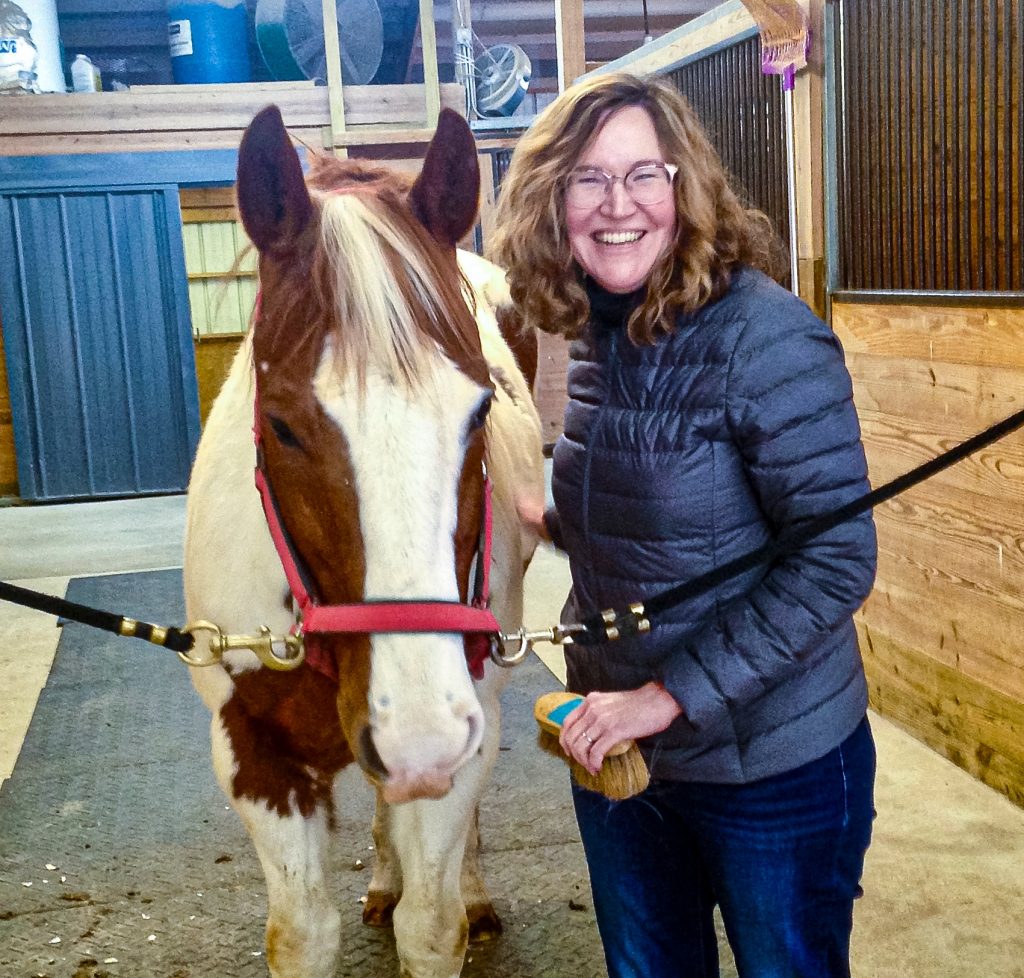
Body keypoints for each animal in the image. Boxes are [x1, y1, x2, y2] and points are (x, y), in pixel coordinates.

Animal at [184, 107, 552, 978]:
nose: (417, 732)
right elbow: (303, 934)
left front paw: (449, 899)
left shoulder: (463, 730)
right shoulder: (253, 754)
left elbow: (433, 925)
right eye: (281, 424)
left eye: (481, 410)